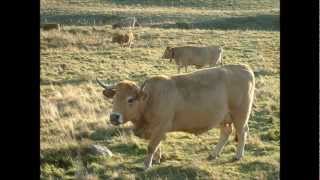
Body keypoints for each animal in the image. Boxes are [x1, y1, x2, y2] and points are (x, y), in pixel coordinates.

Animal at [96, 64, 256, 169]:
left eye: (130, 99)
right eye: (114, 98)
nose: (114, 117)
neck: (150, 99)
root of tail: (243, 68)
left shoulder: (160, 127)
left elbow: (151, 146)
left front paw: (146, 165)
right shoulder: (156, 130)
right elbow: (157, 146)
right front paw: (156, 160)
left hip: (240, 116)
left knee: (242, 132)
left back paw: (238, 156)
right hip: (223, 118)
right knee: (226, 132)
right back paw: (213, 154)